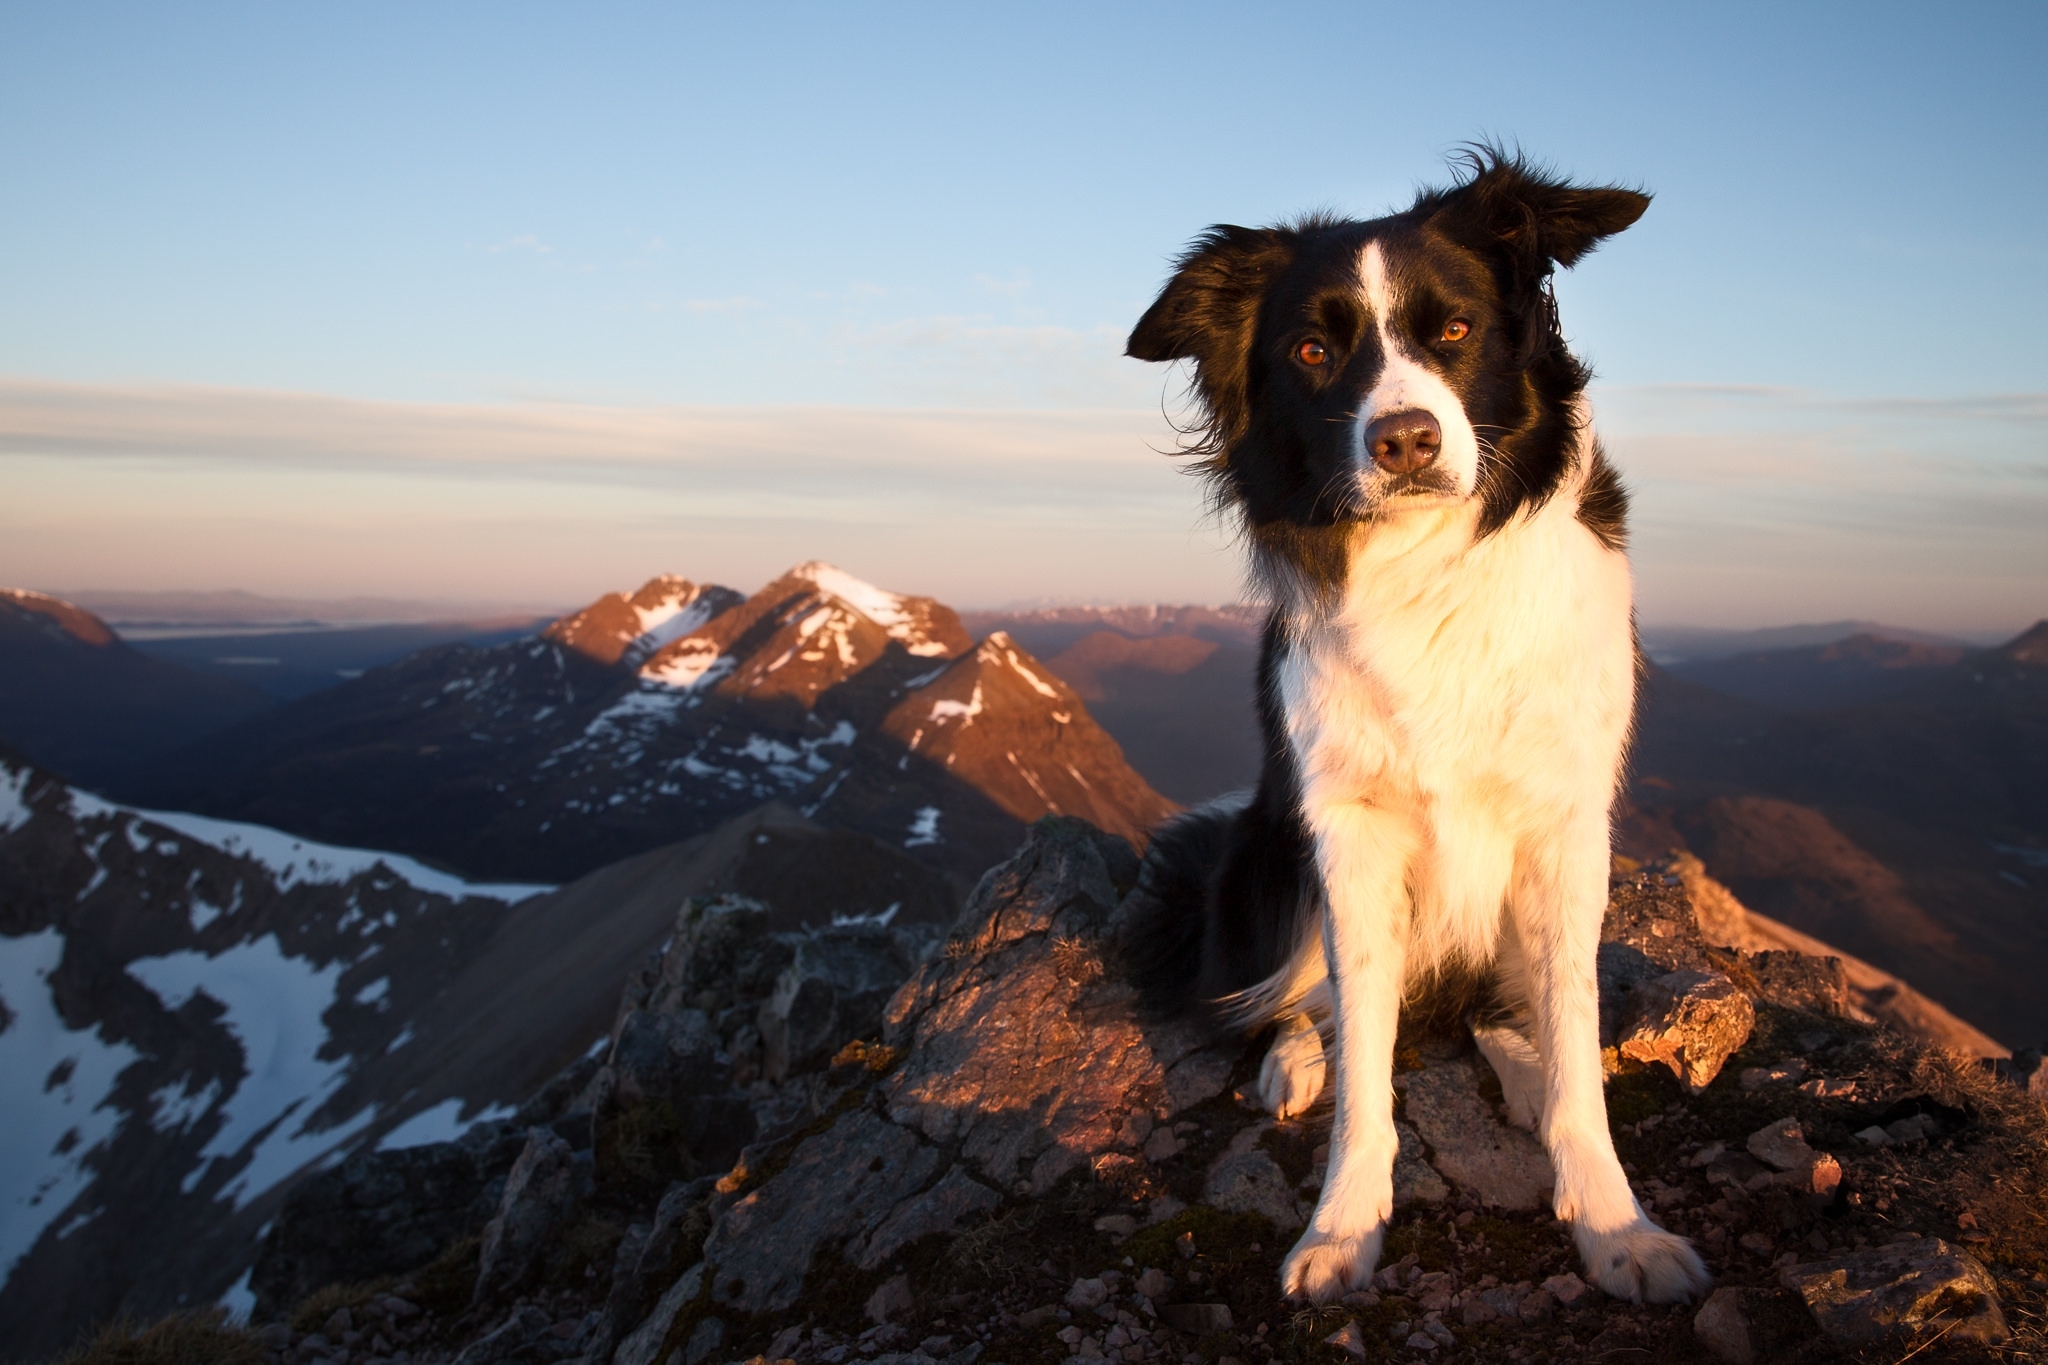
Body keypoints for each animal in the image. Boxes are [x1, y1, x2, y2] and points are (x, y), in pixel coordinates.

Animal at [1130, 149, 1703, 1301]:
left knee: (1493, 1005)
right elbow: (1364, 1054)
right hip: (1268, 855)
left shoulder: (1566, 821)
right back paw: (1289, 1057)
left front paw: (1613, 1223)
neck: (1426, 563)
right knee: (1291, 1000)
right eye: (1311, 351)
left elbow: (1571, 1027)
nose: (1403, 440)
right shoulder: (1347, 830)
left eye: (1456, 329)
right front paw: (1342, 1225)